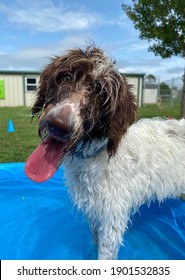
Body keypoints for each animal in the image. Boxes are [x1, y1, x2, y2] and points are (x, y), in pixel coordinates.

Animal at [25, 44, 185, 260]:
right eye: (67, 76)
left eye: (102, 95)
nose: (58, 124)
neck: (95, 155)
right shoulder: (95, 212)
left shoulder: (112, 217)